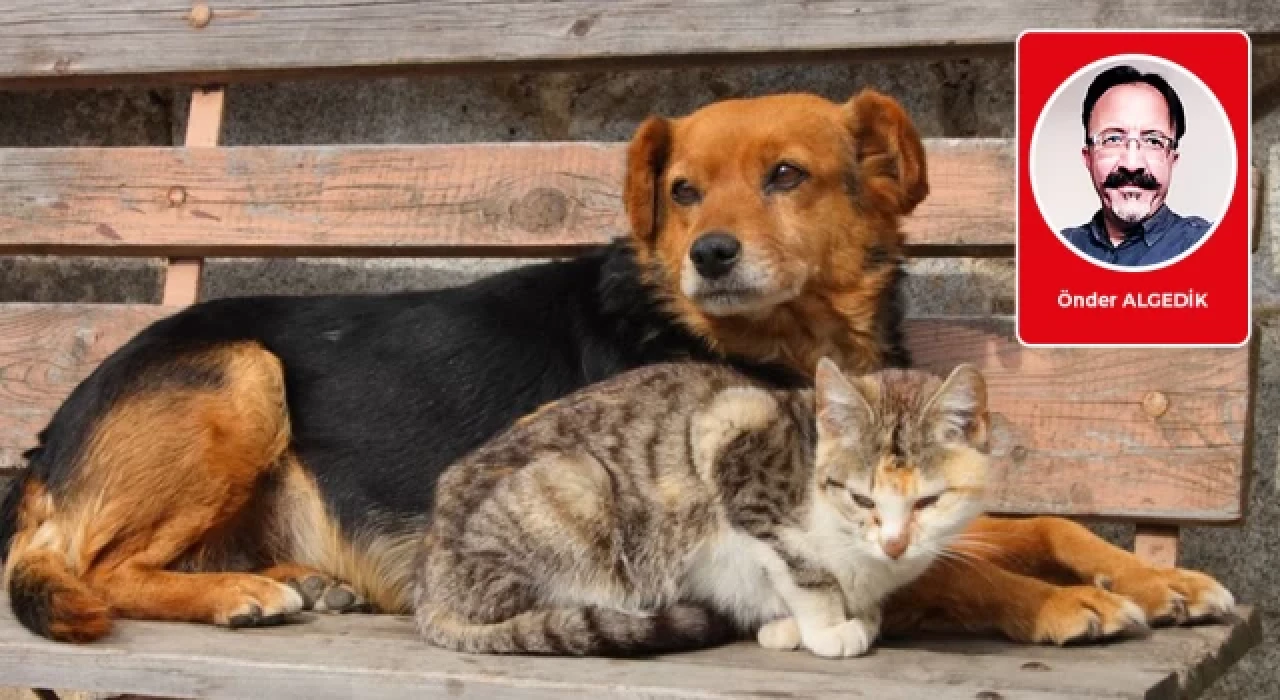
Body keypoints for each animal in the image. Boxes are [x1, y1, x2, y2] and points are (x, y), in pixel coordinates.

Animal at [414, 358, 993, 660]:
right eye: (862, 498)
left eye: (928, 501)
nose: (895, 544)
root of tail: (426, 586)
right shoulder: (732, 435)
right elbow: (804, 570)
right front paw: (829, 627)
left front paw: (836, 619)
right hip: (576, 487)